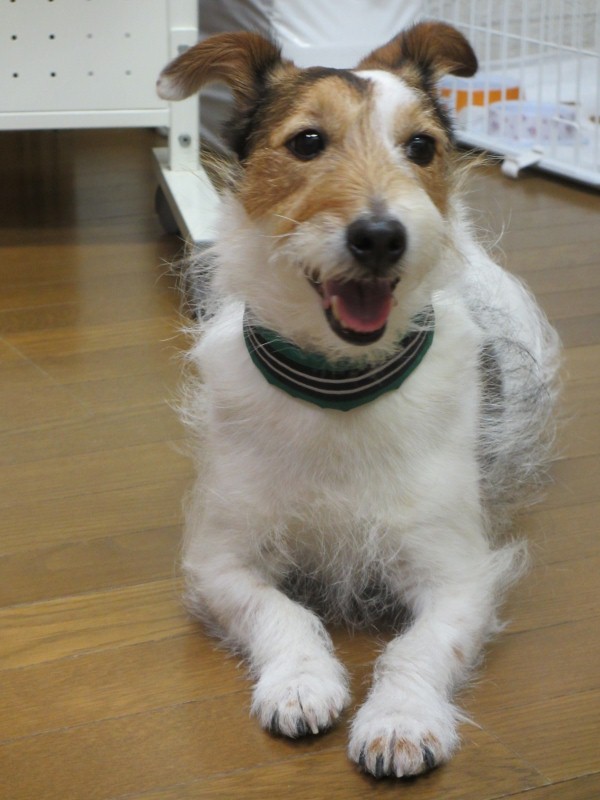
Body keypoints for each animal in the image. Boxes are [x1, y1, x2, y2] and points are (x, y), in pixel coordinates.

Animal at [157, 21, 560, 779]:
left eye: (422, 147)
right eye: (308, 142)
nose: (380, 236)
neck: (340, 385)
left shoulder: (460, 576)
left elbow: (417, 647)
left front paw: (400, 720)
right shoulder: (222, 562)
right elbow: (283, 612)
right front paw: (300, 682)